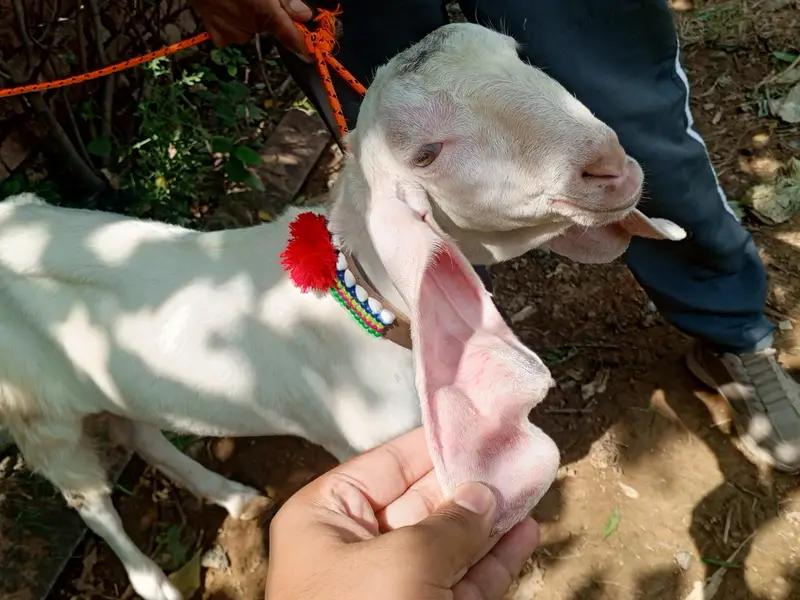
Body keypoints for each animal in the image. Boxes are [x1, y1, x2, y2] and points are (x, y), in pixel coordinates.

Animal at [0, 23, 685, 600]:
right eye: (426, 153)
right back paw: (154, 582)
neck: (373, 307)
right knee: (89, 498)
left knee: (136, 429)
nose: (610, 165)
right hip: (38, 417)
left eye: (520, 55)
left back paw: (232, 496)